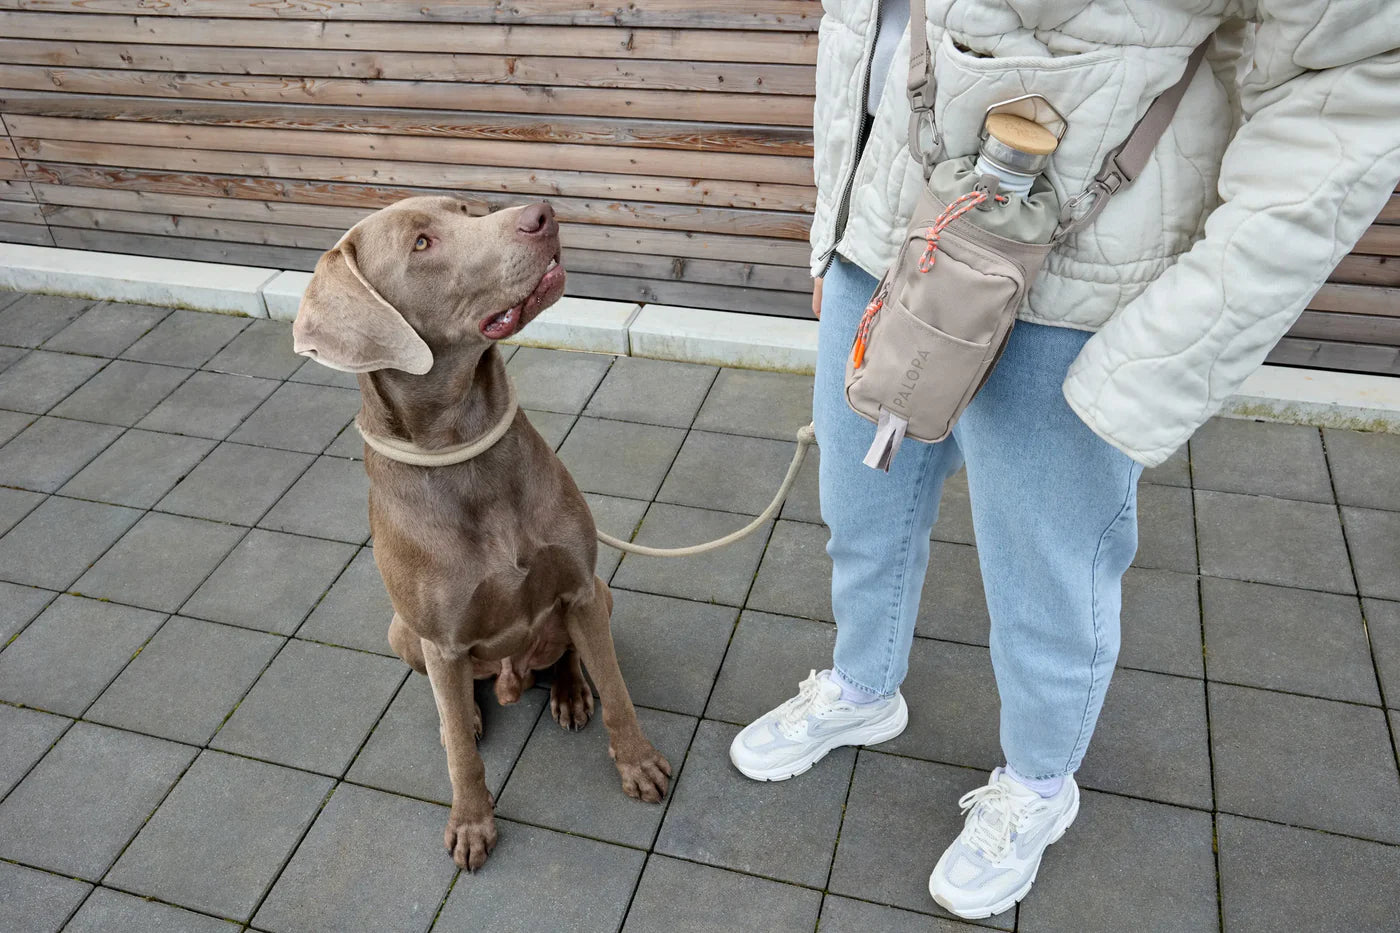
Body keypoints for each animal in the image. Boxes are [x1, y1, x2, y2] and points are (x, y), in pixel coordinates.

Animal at [289, 194, 666, 862]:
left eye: (467, 207)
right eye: (421, 243)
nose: (542, 214)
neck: (465, 452)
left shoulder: (580, 587)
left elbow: (619, 692)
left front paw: (639, 763)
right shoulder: (440, 639)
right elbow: (464, 758)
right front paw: (471, 822)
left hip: (602, 596)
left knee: (569, 656)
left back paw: (569, 691)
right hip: (402, 632)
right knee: (456, 695)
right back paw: (463, 715)